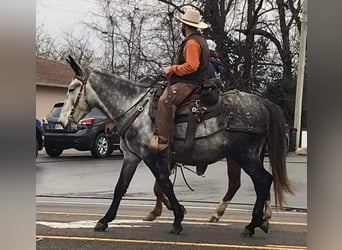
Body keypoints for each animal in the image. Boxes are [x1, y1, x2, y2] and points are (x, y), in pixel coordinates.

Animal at [59, 56, 294, 236]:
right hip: (246, 156)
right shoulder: (132, 156)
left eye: (71, 89)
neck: (134, 107)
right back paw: (259, 221)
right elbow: (121, 188)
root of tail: (263, 103)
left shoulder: (151, 156)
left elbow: (164, 184)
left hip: (244, 155)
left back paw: (252, 224)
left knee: (262, 180)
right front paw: (105, 220)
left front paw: (178, 217)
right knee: (257, 183)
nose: (62, 122)